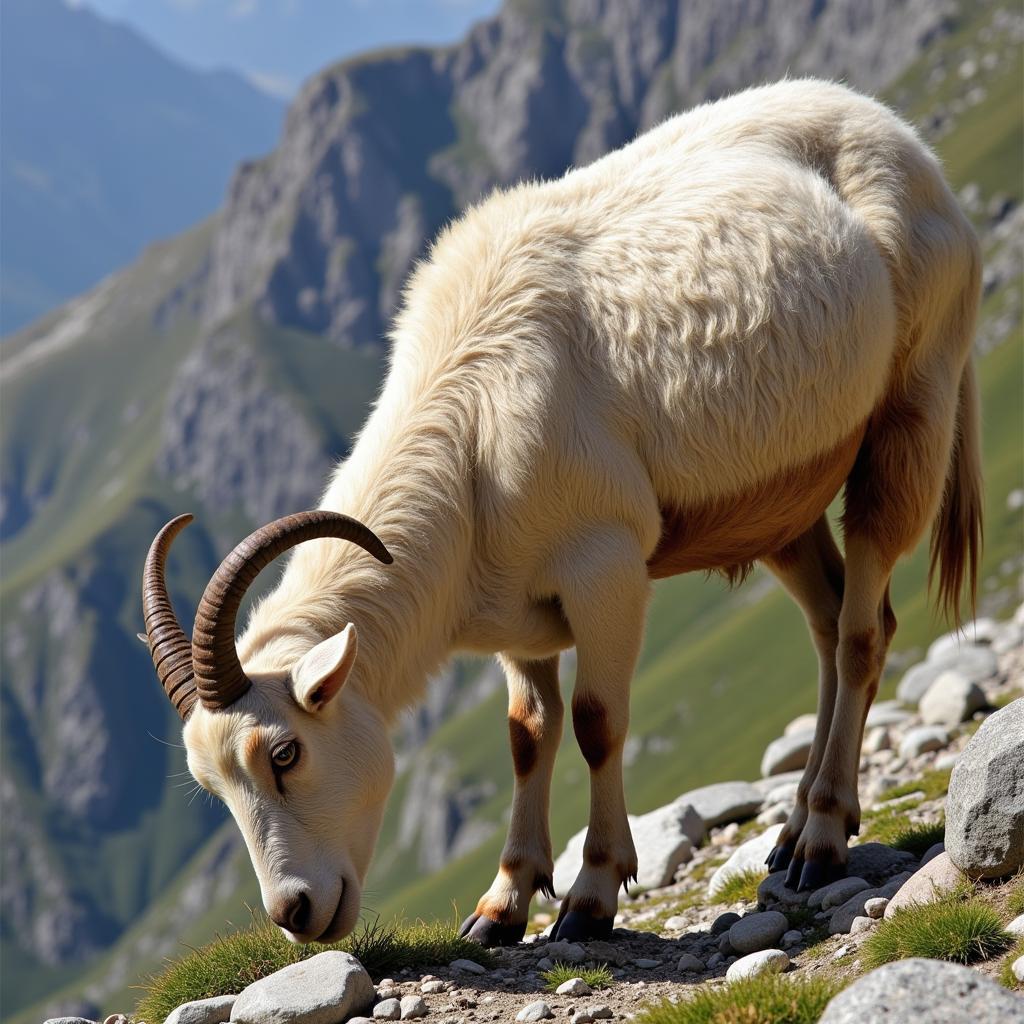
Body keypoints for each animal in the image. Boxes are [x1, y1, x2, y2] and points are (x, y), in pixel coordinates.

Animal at [140, 75, 978, 946]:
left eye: (284, 754)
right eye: (213, 785)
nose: (296, 913)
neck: (469, 426)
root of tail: (895, 134)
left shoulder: (604, 567)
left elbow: (598, 720)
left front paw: (592, 894)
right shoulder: (517, 605)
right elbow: (527, 734)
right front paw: (502, 904)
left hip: (913, 405)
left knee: (860, 631)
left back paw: (821, 836)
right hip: (782, 496)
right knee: (826, 622)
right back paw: (794, 831)